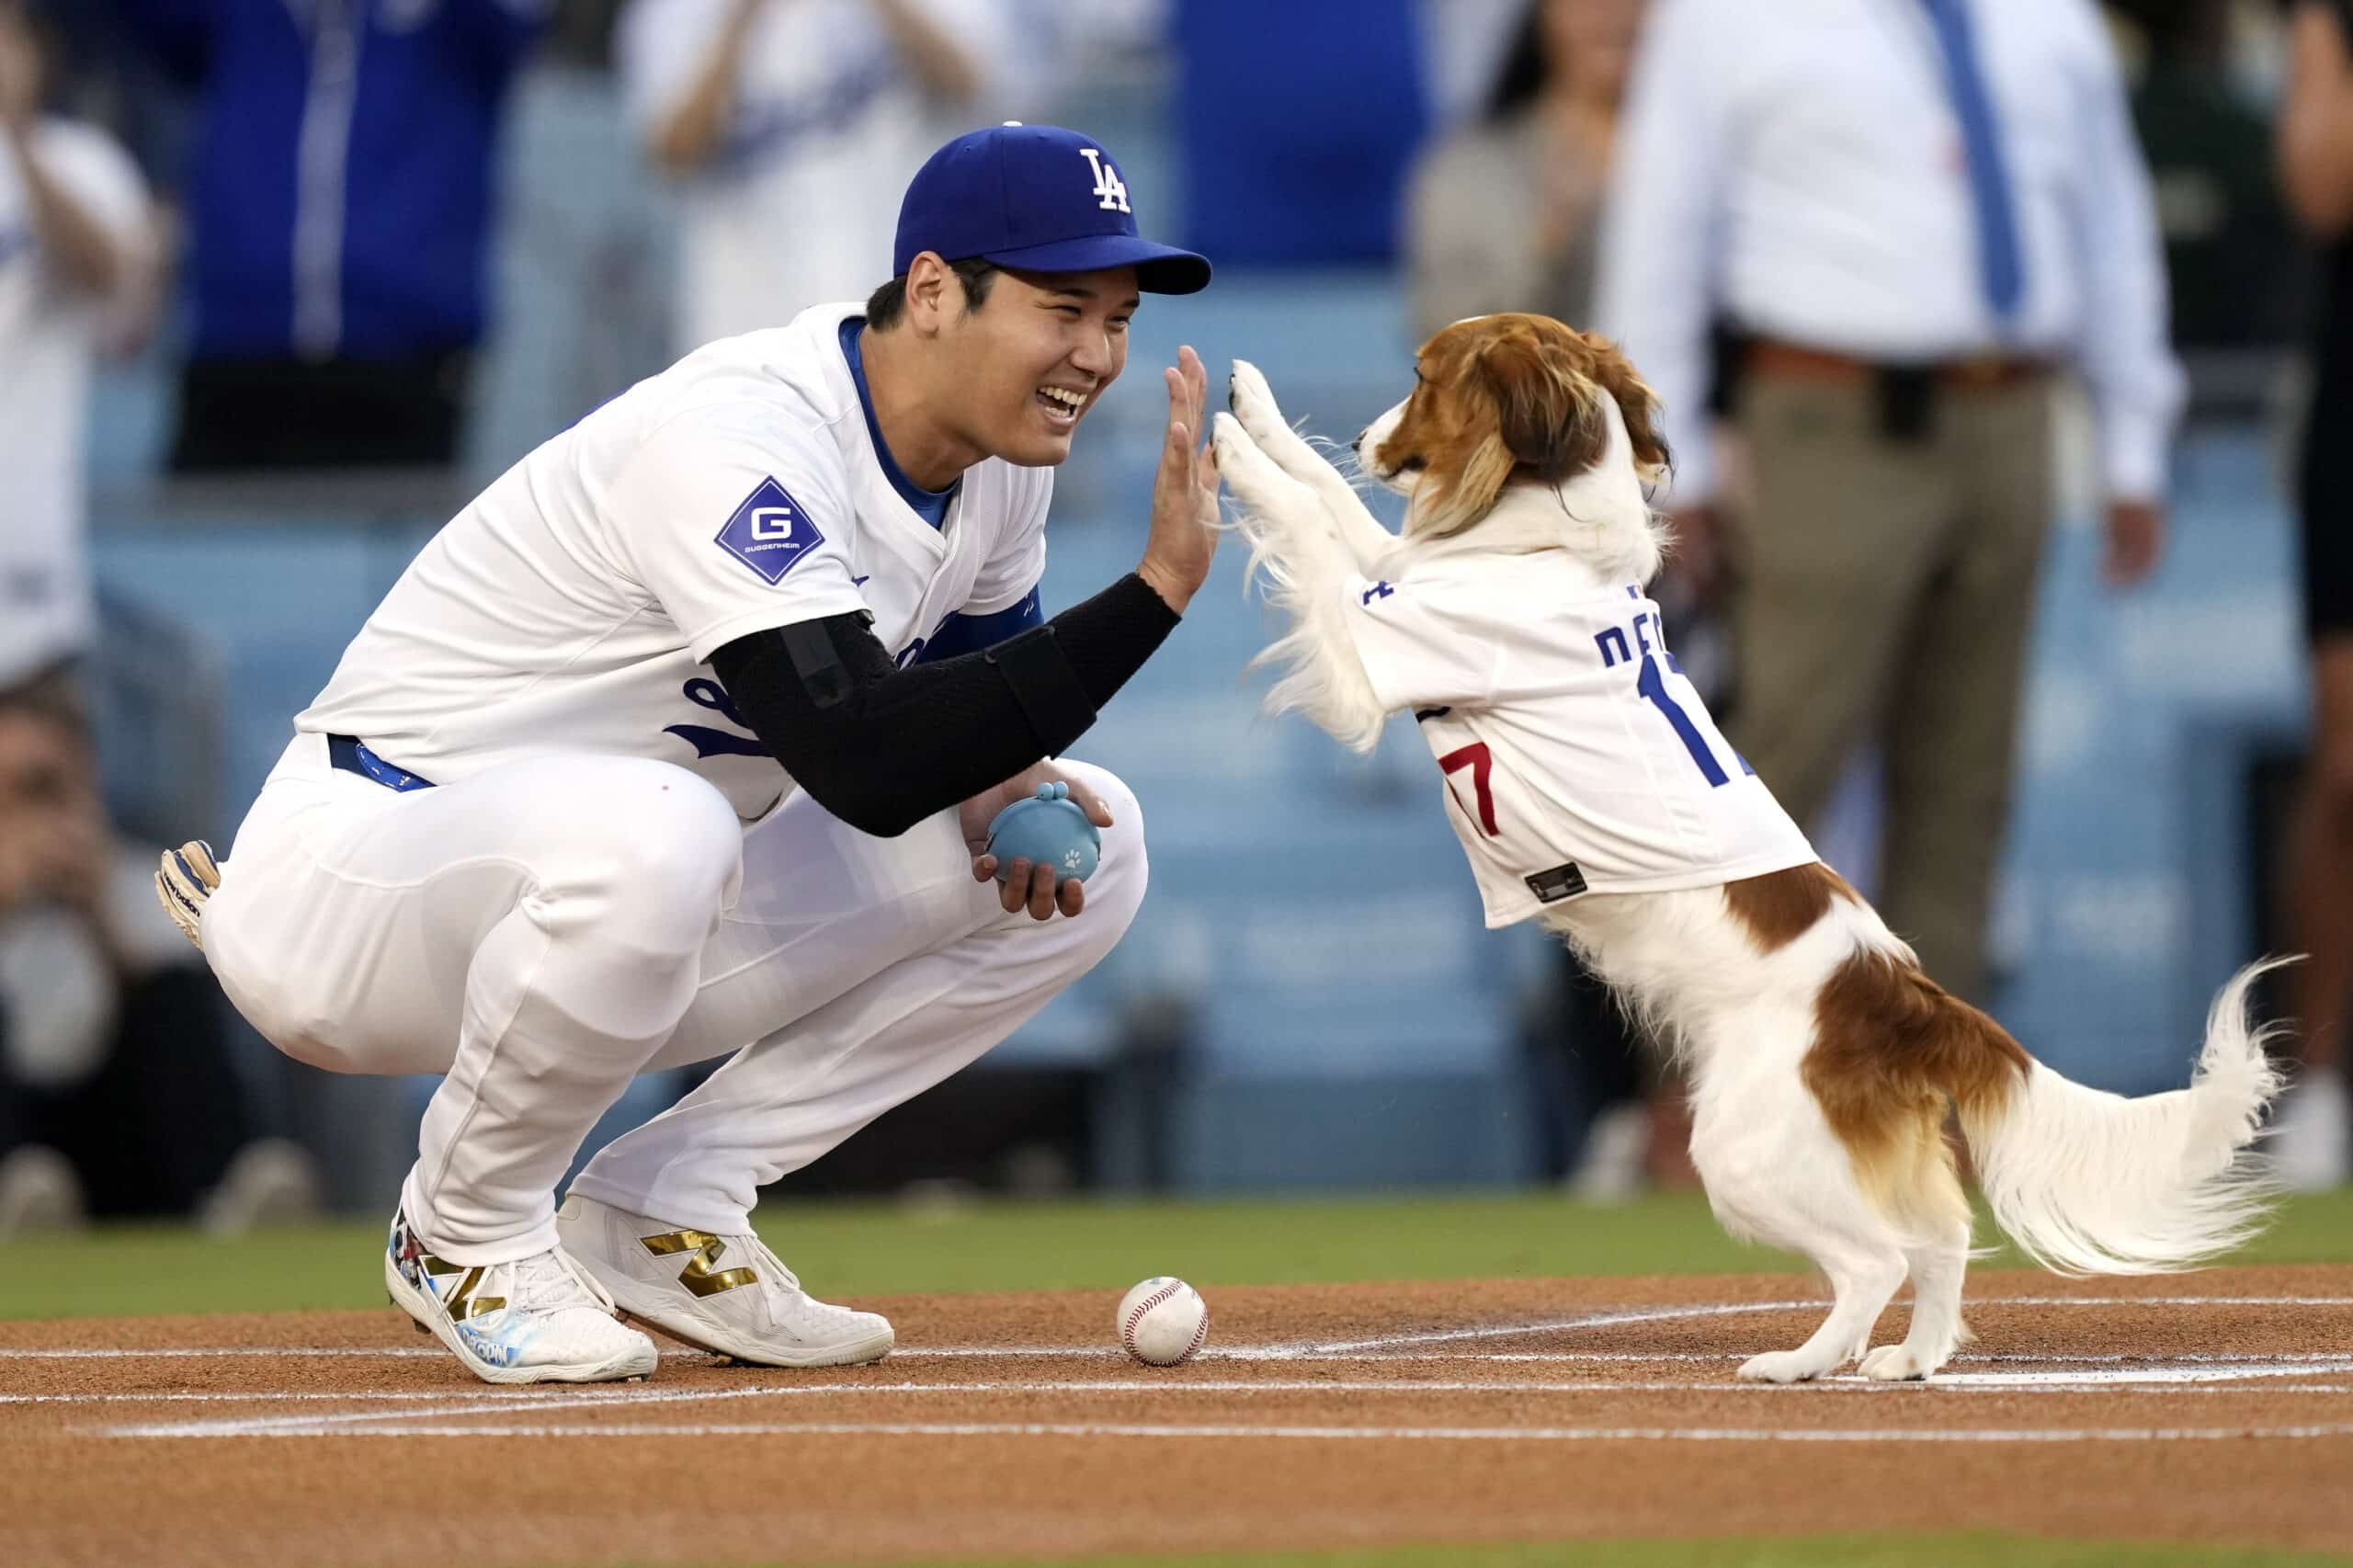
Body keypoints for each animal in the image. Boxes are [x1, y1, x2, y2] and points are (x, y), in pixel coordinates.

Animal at [1223, 308, 2287, 1384]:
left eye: (1421, 376)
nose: (1367, 438)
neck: (1548, 543)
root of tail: (1903, 994)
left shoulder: (1370, 662)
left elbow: (1311, 523)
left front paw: (1228, 448)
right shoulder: (1398, 582)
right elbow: (1334, 508)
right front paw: (1256, 414)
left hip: (1741, 1153)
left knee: (1874, 1258)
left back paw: (1801, 1361)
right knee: (1941, 1238)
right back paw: (1910, 1359)